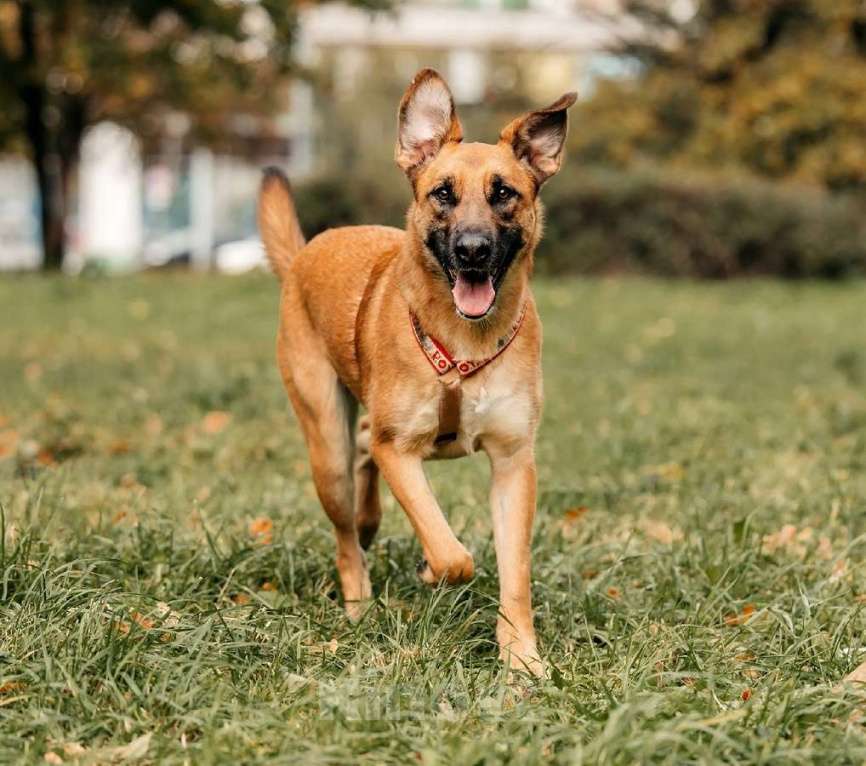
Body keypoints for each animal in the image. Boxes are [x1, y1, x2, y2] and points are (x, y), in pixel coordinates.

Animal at [260, 69, 576, 676]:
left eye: (504, 194)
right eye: (443, 193)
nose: (473, 250)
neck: (465, 343)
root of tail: (306, 253)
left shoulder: (514, 464)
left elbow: (515, 573)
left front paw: (521, 658)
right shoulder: (400, 451)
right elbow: (451, 551)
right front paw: (432, 569)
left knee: (363, 456)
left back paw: (371, 523)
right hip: (325, 447)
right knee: (346, 532)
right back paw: (358, 601)